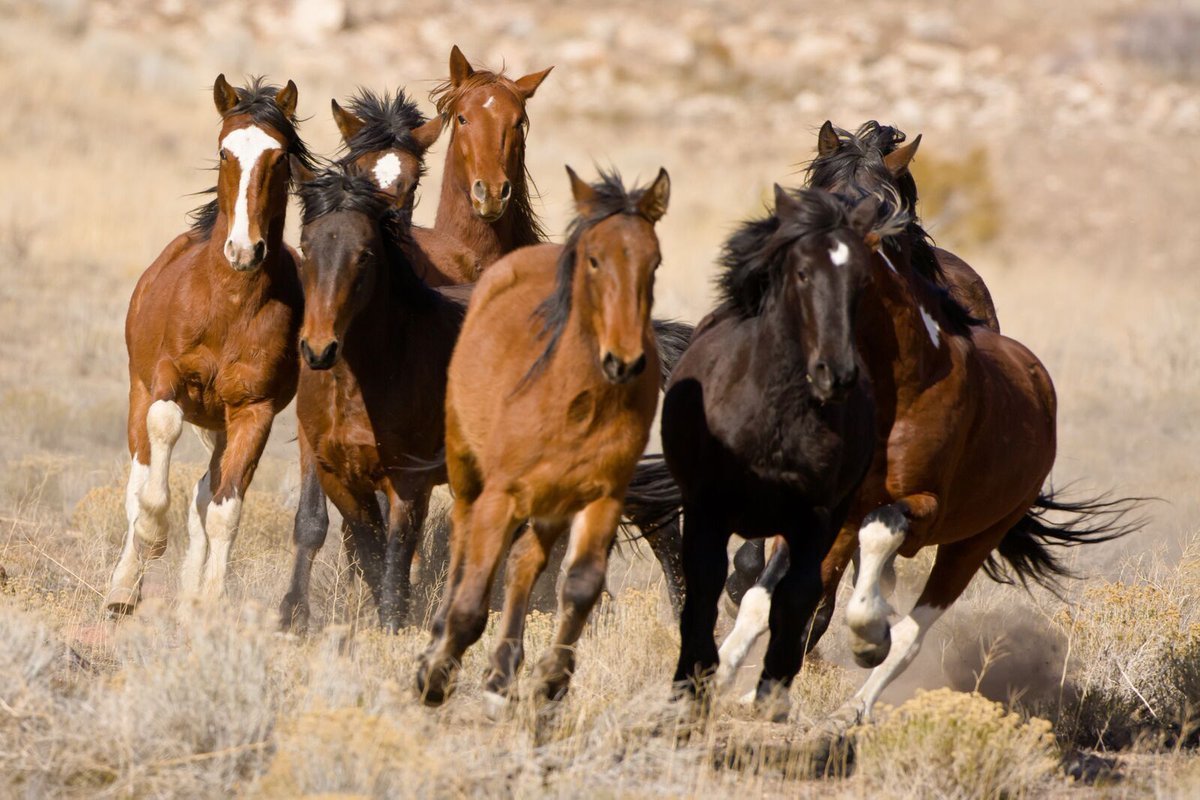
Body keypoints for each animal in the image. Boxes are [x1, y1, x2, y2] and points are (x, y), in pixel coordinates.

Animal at [106, 75, 313, 615]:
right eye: (224, 152)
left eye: (279, 156)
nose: (244, 250)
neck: (229, 305)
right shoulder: (167, 379)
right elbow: (160, 445)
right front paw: (153, 536)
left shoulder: (253, 411)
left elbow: (223, 510)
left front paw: (208, 603)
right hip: (138, 390)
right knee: (138, 476)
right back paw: (123, 588)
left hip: (219, 423)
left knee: (204, 493)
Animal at [278, 162, 469, 634]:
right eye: (306, 246)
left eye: (364, 254)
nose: (318, 349)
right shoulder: (338, 475)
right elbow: (370, 551)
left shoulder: (408, 479)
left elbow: (396, 559)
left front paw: (393, 627)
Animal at [417, 167, 671, 709]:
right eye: (593, 260)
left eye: (654, 261)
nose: (624, 361)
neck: (574, 399)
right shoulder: (501, 494)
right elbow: (472, 594)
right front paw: (434, 675)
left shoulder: (602, 494)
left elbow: (579, 586)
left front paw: (550, 682)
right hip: (468, 469)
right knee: (462, 545)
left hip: (552, 502)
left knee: (524, 561)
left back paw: (502, 672)